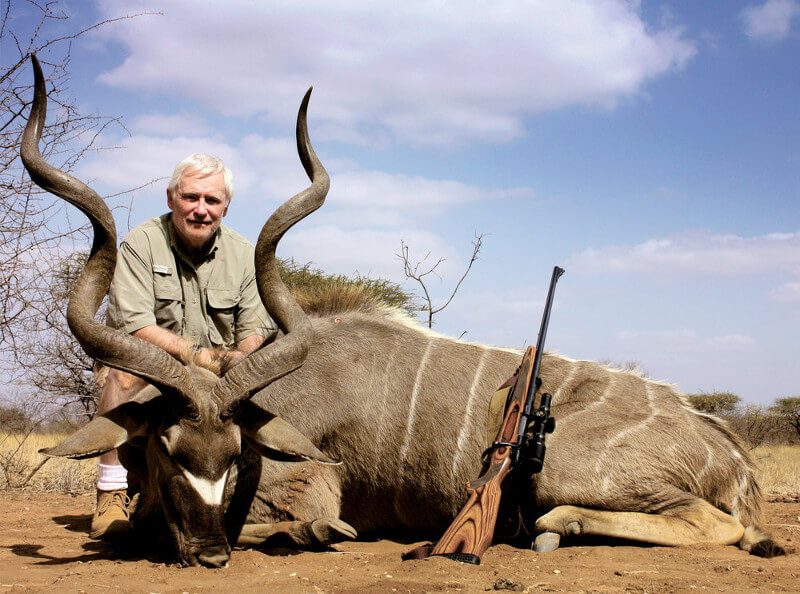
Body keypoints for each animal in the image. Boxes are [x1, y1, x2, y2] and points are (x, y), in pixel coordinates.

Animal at [21, 55, 784, 568]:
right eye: (166, 448)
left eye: (236, 456)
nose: (209, 555)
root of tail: (727, 451)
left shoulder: (309, 486)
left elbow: (301, 523)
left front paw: (314, 534)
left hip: (567, 473)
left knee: (717, 525)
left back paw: (554, 526)